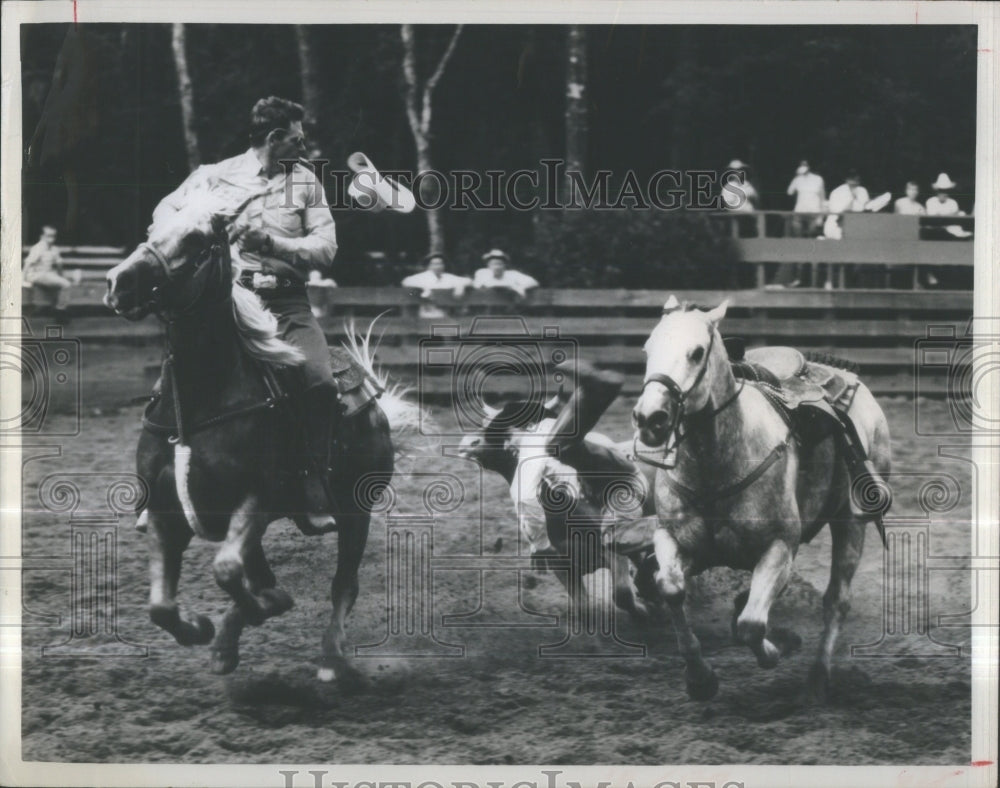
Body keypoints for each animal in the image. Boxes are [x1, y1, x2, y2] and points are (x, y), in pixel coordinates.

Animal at [103, 199, 412, 688]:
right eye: (153, 229)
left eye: (196, 240)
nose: (119, 282)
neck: (198, 407)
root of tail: (370, 397)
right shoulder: (165, 511)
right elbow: (161, 606)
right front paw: (203, 629)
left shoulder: (257, 499)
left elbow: (228, 571)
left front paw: (243, 616)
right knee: (263, 574)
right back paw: (232, 638)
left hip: (355, 509)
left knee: (344, 584)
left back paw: (330, 656)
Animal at [632, 298, 892, 700]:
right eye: (647, 349)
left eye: (697, 352)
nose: (649, 418)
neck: (715, 463)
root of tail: (847, 376)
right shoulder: (674, 539)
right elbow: (670, 588)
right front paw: (700, 677)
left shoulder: (779, 549)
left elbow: (752, 624)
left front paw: (779, 647)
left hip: (852, 522)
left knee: (836, 600)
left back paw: (818, 677)